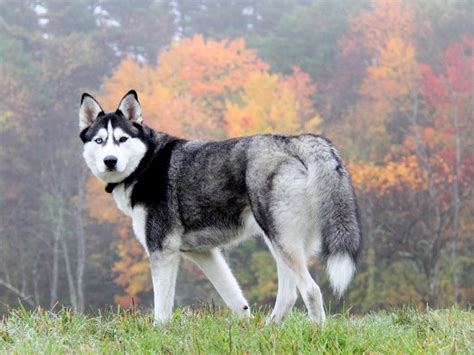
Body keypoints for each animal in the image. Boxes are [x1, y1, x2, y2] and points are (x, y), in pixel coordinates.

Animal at [79, 90, 362, 324]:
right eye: (99, 141)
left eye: (122, 139)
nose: (110, 161)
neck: (146, 163)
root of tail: (293, 141)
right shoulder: (204, 253)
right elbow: (235, 299)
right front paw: (246, 326)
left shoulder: (162, 250)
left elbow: (162, 307)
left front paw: (159, 331)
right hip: (282, 242)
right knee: (290, 293)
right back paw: (270, 328)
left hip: (280, 239)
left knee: (311, 290)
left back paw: (317, 330)